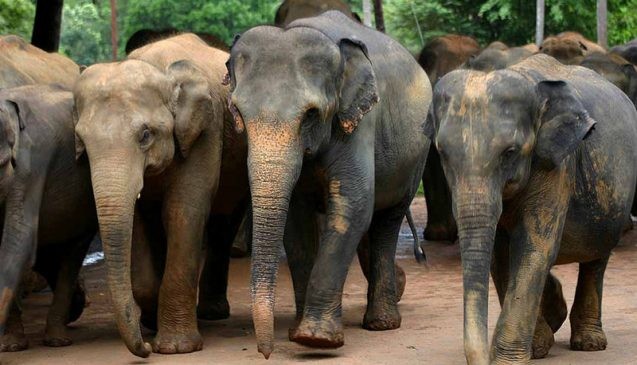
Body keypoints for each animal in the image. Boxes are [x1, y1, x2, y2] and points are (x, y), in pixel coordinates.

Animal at [0, 84, 97, 350]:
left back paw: (58, 339)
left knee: (70, 255)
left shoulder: (31, 165)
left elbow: (18, 239)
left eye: (2, 164)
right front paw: (11, 347)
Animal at [72, 32, 246, 356]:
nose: (145, 349)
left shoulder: (206, 130)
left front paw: (177, 348)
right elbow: (139, 220)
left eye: (145, 135)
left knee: (224, 222)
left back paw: (212, 314)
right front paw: (151, 323)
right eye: (82, 142)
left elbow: (182, 211)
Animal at [225, 9, 432, 356]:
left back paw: (382, 323)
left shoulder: (360, 123)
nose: (264, 352)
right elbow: (296, 222)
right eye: (237, 112)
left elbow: (353, 205)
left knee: (386, 222)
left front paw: (315, 339)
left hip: (417, 155)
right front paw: (296, 332)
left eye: (310, 114)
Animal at [422, 53, 636, 362]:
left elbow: (534, 247)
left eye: (510, 152)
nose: (483, 359)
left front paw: (509, 360)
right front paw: (536, 348)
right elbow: (500, 254)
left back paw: (589, 343)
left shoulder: (557, 164)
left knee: (596, 257)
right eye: (442, 153)